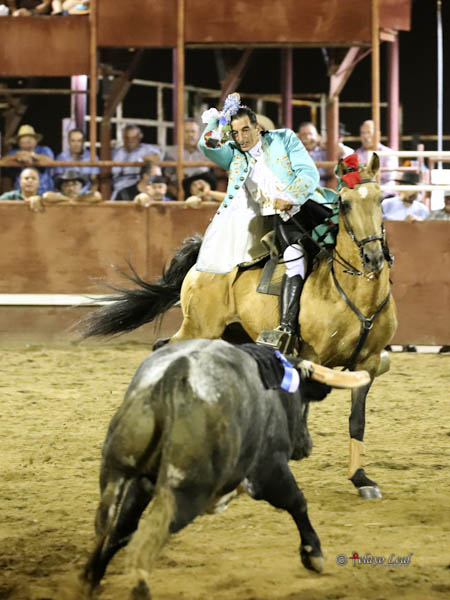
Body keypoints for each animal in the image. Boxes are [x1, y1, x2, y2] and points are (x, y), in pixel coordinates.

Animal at [72, 339, 368, 599]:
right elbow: (297, 502)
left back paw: (90, 581)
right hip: (184, 496)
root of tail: (176, 373)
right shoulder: (269, 471)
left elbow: (121, 532)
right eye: (303, 404)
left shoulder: (142, 484)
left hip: (116, 476)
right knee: (144, 544)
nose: (307, 445)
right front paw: (313, 553)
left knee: (110, 528)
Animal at [81, 153, 397, 499]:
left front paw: (361, 478)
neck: (356, 295)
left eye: (381, 199)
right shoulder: (312, 358)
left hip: (229, 335)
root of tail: (203, 261)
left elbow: (357, 421)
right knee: (163, 349)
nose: (372, 256)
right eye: (344, 204)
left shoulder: (367, 364)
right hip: (199, 327)